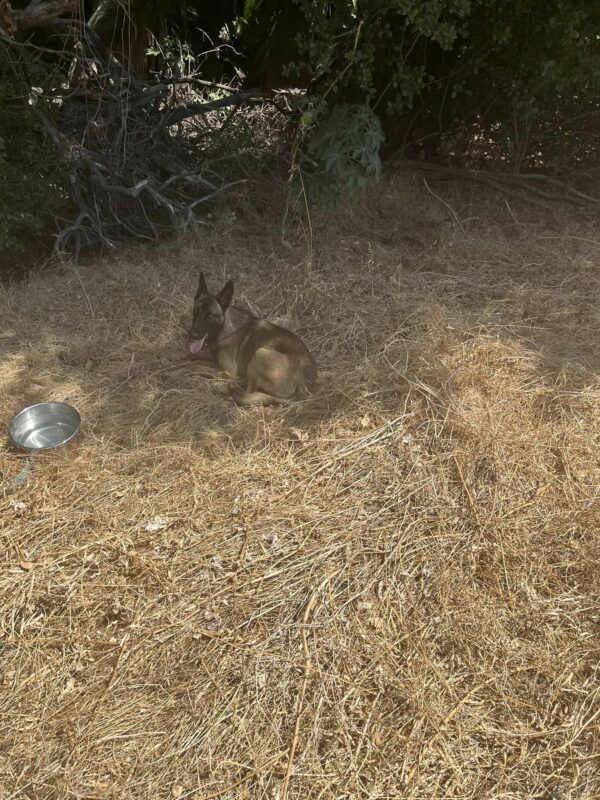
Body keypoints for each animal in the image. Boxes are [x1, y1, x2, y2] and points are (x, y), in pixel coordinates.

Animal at [190, 272, 316, 406]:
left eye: (210, 316)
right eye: (195, 312)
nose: (192, 334)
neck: (224, 327)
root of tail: (303, 387)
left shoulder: (229, 372)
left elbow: (196, 367)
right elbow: (190, 353)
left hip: (260, 353)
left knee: (249, 392)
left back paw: (224, 389)